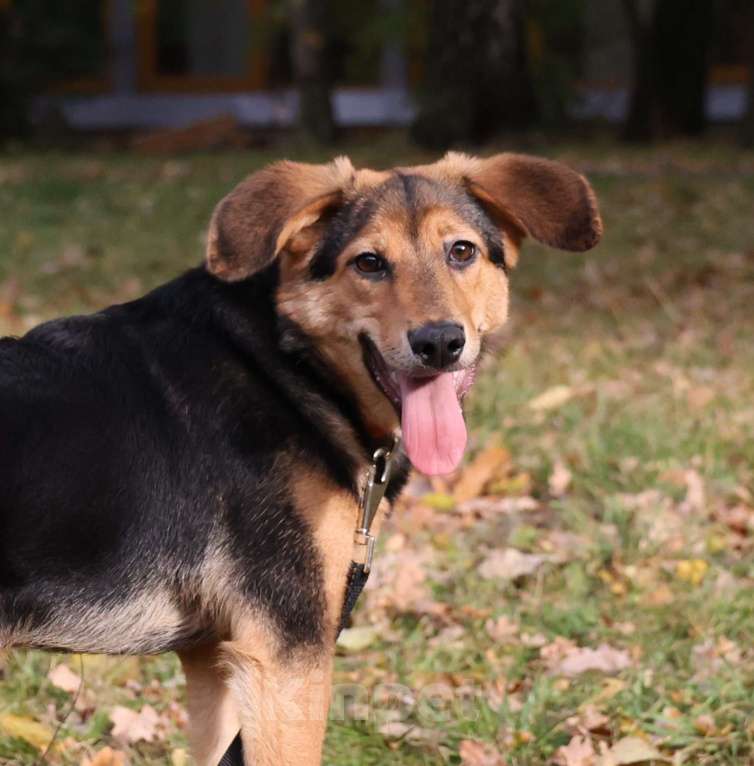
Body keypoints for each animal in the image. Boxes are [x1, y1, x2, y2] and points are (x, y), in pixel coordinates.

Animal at [0, 153, 600, 764]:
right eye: (369, 262)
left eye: (461, 251)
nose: (438, 343)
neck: (290, 365)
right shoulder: (287, 656)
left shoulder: (217, 659)